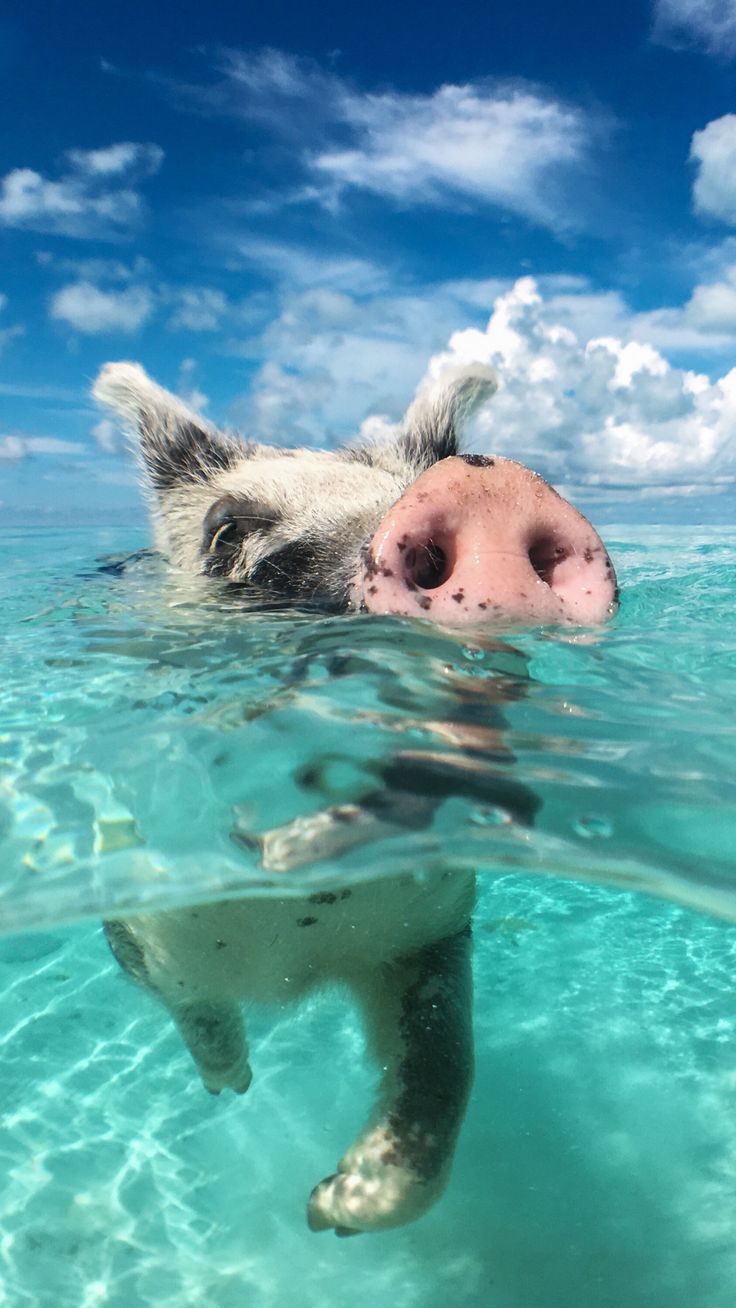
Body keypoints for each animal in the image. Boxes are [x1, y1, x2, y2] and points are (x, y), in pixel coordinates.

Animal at [93, 361, 622, 1234]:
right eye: (226, 532)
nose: (488, 485)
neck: (293, 945)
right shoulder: (138, 917)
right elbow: (192, 1005)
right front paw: (231, 1087)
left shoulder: (431, 932)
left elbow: (446, 1062)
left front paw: (329, 1208)